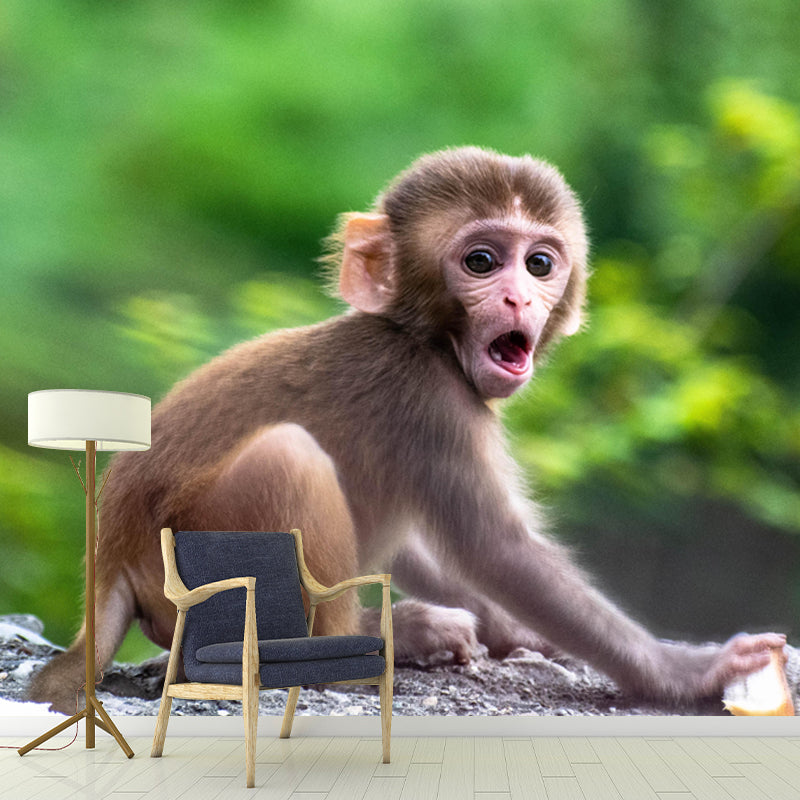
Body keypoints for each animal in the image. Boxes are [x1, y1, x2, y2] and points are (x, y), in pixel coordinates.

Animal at [29, 146, 785, 714]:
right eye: (482, 261)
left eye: (540, 263)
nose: (519, 298)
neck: (421, 338)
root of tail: (112, 558)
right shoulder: (432, 402)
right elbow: (496, 549)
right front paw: (687, 671)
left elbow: (431, 542)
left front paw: (512, 631)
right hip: (193, 566)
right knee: (289, 459)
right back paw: (380, 637)